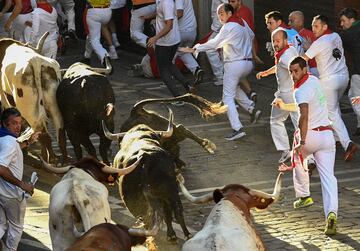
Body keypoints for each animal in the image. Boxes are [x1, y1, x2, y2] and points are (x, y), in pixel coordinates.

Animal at [0, 32, 67, 161]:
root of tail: (35, 60)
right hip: (53, 105)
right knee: (59, 131)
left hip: (29, 109)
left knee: (42, 132)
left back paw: (50, 159)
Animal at [103, 110, 193, 241]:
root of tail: (145, 156)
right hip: (171, 190)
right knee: (176, 210)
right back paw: (185, 235)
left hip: (132, 197)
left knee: (145, 216)